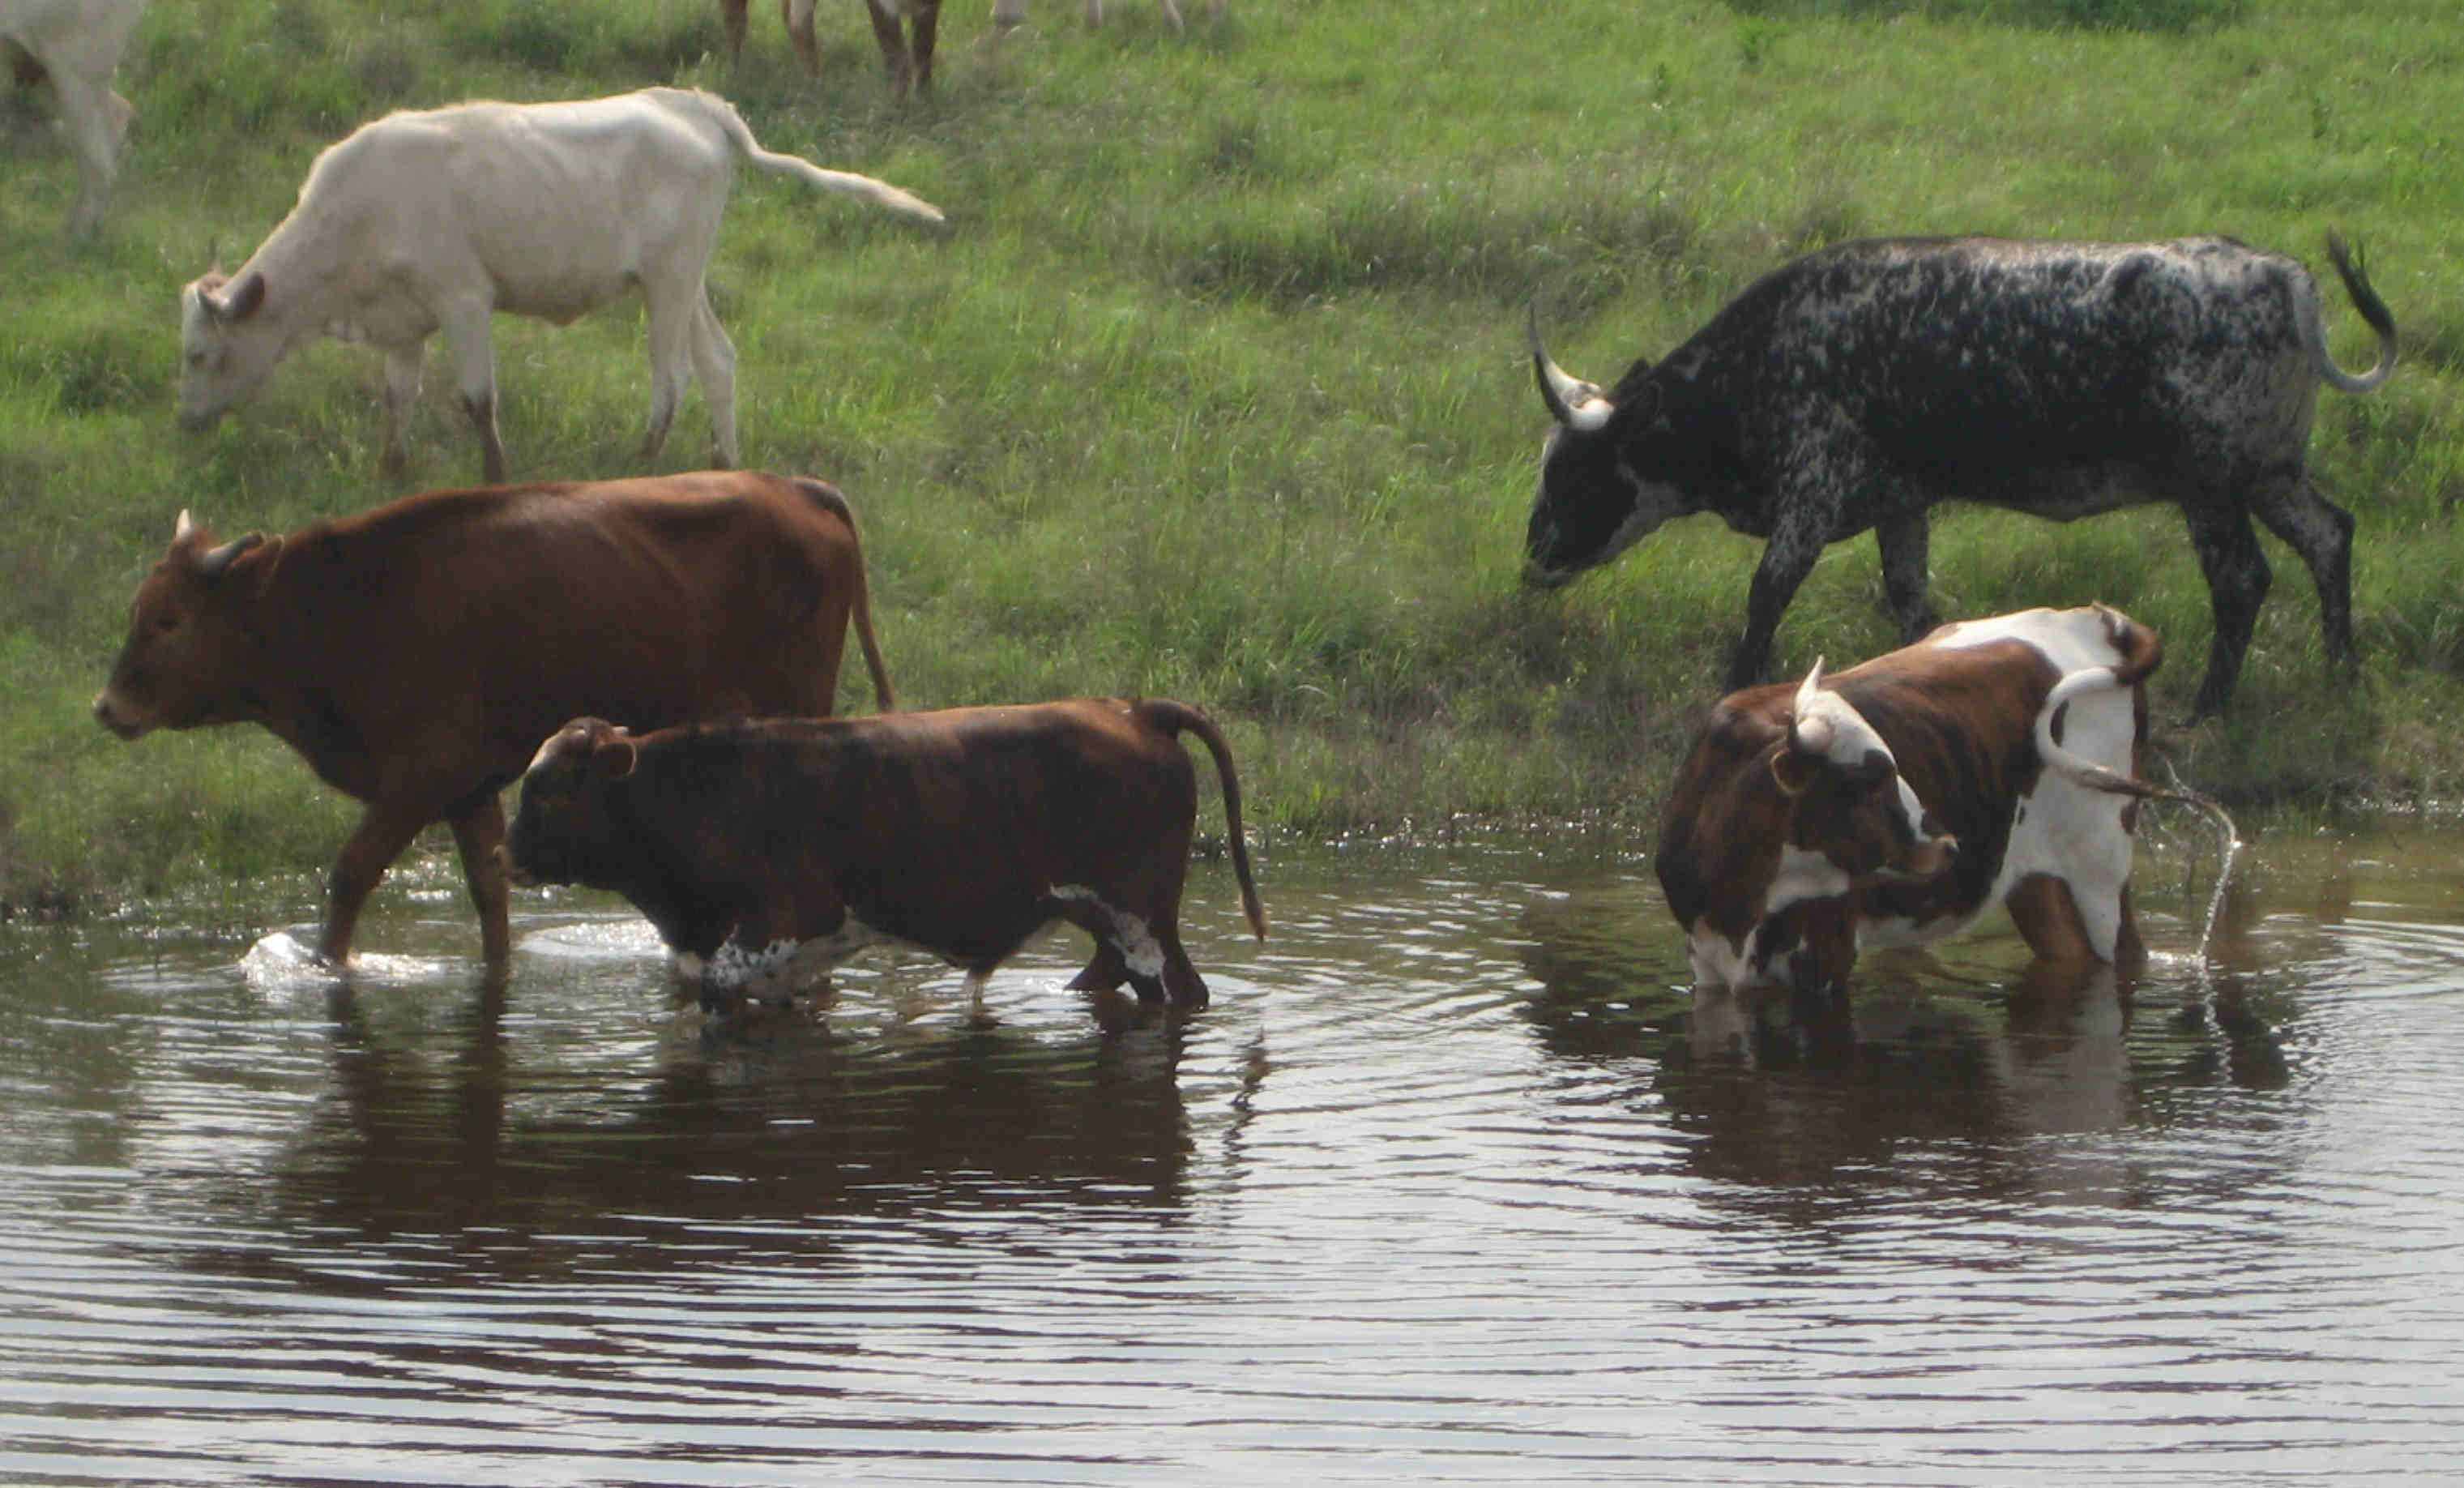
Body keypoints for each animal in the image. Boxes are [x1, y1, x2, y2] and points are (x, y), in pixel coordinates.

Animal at [93, 470, 896, 970]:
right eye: (136, 608)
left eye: (169, 620)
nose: (108, 708)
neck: (349, 603)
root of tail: (796, 489)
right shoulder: (469, 790)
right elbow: (489, 895)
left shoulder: (420, 777)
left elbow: (350, 875)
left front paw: (327, 968)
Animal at [178, 85, 946, 482]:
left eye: (199, 353)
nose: (184, 423)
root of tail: (694, 104)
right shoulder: (404, 320)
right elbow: (398, 395)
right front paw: (392, 467)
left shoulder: (465, 302)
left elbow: (477, 400)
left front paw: (494, 477)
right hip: (683, 281)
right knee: (717, 361)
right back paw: (721, 460)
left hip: (668, 284)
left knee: (672, 376)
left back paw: (641, 458)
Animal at [502, 704, 1271, 1015]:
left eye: (547, 787)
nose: (509, 854)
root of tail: (1134, 711)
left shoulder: (787, 919)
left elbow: (719, 989)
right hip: (1108, 919)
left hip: (1141, 919)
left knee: (1175, 993)